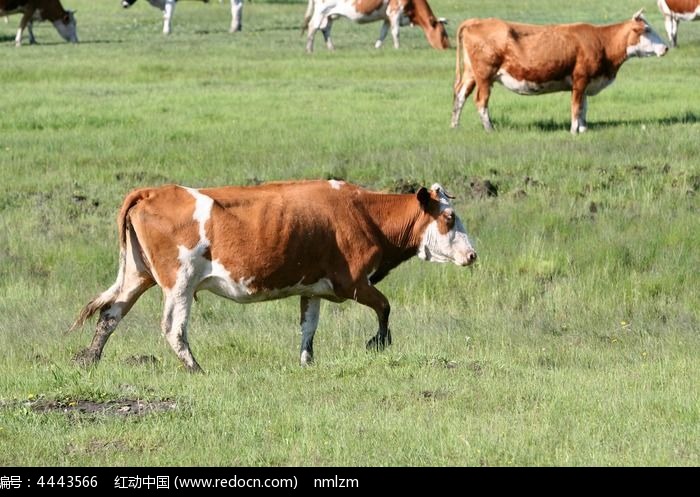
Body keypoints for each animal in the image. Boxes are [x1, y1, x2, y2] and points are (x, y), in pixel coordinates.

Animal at [69, 180, 476, 370]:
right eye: (449, 217)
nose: (472, 254)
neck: (364, 213)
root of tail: (153, 191)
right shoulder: (353, 283)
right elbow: (385, 307)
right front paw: (378, 342)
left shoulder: (312, 288)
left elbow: (308, 327)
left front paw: (306, 361)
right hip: (179, 283)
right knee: (173, 328)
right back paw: (196, 369)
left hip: (138, 275)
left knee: (111, 314)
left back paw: (89, 359)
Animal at [300, 0, 448, 52]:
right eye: (443, 34)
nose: (448, 48)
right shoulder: (394, 11)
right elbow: (396, 32)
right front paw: (397, 48)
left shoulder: (387, 17)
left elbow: (383, 33)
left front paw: (377, 47)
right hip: (321, 10)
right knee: (313, 27)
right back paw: (309, 50)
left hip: (330, 15)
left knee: (325, 29)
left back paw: (332, 48)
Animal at [448, 9, 668, 134]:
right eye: (647, 30)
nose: (666, 48)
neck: (602, 42)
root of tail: (477, 21)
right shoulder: (580, 79)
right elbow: (576, 106)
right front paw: (573, 131)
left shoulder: (586, 82)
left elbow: (584, 107)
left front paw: (584, 129)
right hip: (485, 75)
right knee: (480, 101)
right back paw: (490, 129)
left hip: (471, 74)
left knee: (460, 96)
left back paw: (455, 126)